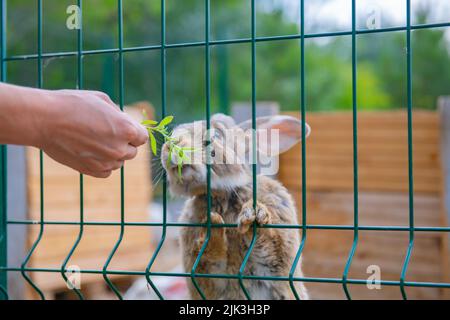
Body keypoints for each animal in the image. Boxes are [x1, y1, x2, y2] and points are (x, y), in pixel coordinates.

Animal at [160, 113, 312, 300]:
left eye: (216, 134)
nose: (171, 145)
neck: (219, 195)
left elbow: (269, 245)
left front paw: (253, 215)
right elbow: (210, 260)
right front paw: (212, 227)